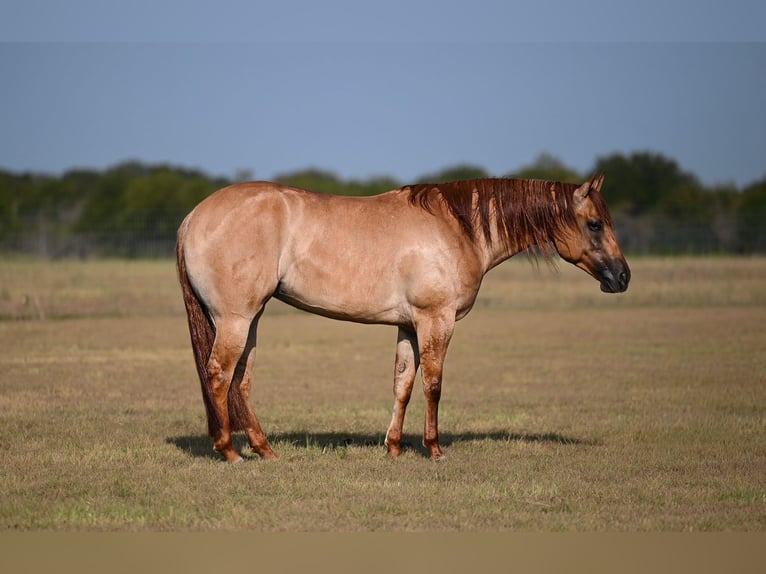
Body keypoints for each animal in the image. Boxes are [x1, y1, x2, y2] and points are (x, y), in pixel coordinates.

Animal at [176, 174, 630, 462]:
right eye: (594, 224)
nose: (623, 277)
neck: (457, 228)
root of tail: (193, 217)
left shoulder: (409, 325)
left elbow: (403, 384)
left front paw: (393, 447)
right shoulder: (436, 320)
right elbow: (433, 385)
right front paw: (434, 449)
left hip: (249, 320)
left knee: (241, 381)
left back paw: (265, 450)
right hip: (235, 319)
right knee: (219, 375)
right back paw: (230, 452)